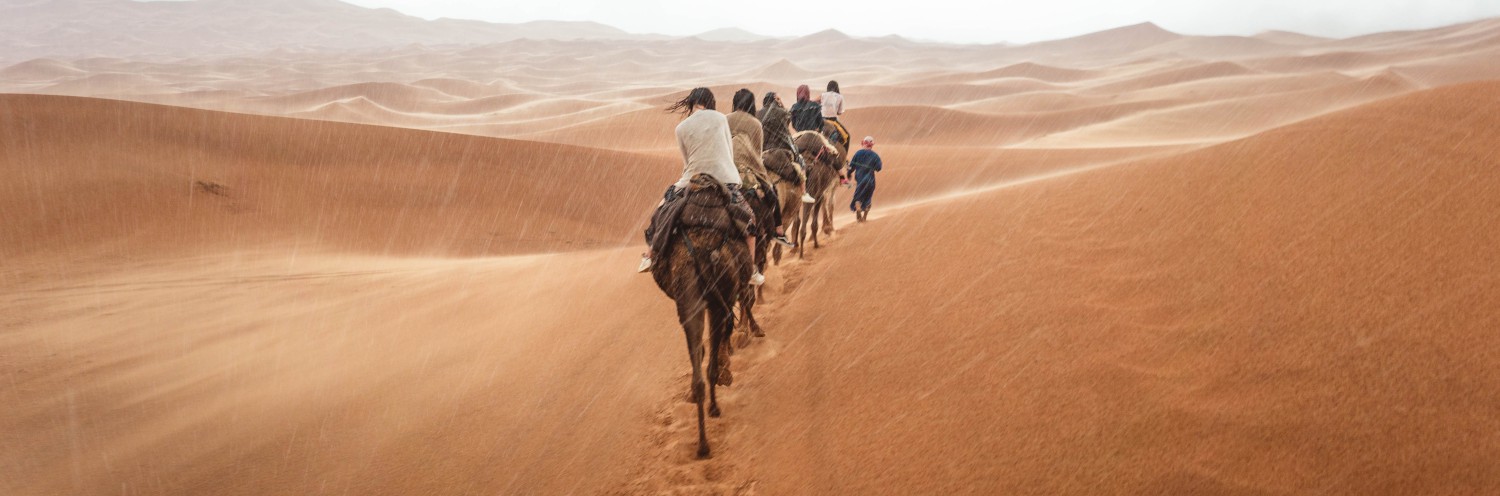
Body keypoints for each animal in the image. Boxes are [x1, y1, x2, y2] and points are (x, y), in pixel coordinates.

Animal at [651, 173, 756, 458]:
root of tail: (702, 251)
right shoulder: (722, 300)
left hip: (690, 299)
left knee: (699, 365)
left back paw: (702, 443)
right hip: (718, 298)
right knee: (710, 361)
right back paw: (714, 410)